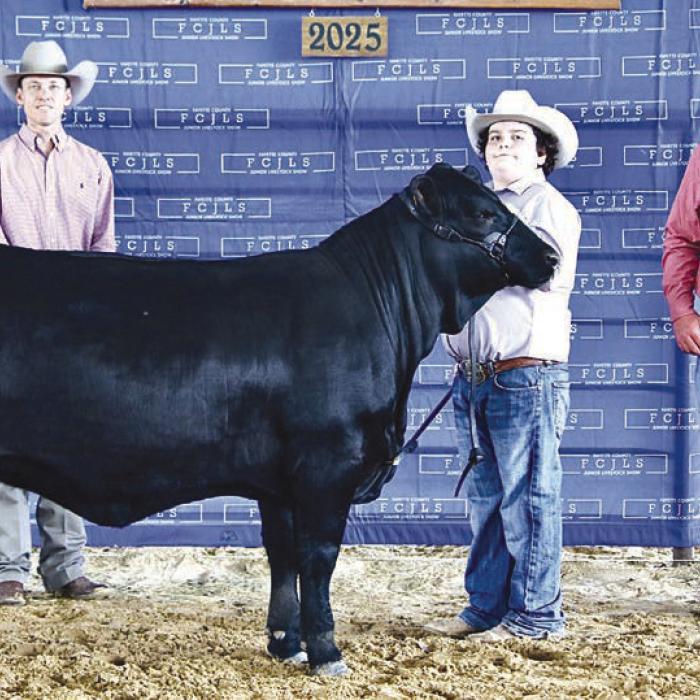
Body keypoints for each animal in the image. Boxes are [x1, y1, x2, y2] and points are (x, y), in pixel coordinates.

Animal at [0, 163, 557, 676]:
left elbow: (282, 554)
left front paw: (286, 644)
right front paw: (328, 653)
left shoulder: (279, 482)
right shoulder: (326, 465)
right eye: (483, 213)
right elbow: (318, 557)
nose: (551, 256)